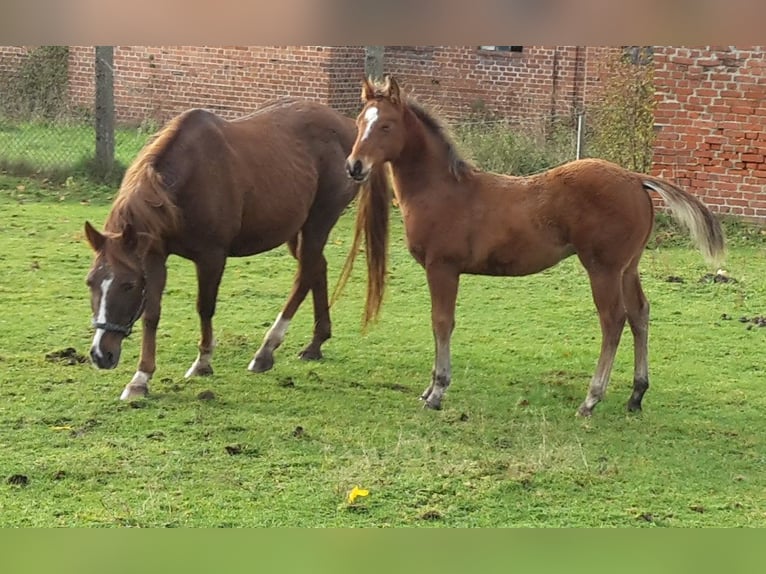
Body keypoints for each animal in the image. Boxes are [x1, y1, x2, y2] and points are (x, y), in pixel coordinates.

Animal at [82, 99, 390, 402]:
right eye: (91, 282)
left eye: (128, 285)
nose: (101, 355)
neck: (184, 183)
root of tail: (349, 128)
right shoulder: (154, 255)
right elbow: (151, 315)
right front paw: (141, 378)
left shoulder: (211, 257)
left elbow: (204, 307)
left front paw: (203, 362)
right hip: (296, 230)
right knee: (317, 268)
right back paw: (315, 343)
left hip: (319, 220)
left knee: (305, 276)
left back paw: (266, 350)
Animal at [344, 76, 728, 418]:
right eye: (360, 122)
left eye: (387, 126)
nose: (354, 166)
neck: (442, 190)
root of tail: (635, 179)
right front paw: (428, 389)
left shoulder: (443, 267)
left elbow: (441, 322)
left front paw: (436, 392)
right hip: (627, 266)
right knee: (639, 313)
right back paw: (635, 396)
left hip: (603, 268)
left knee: (613, 319)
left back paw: (591, 399)